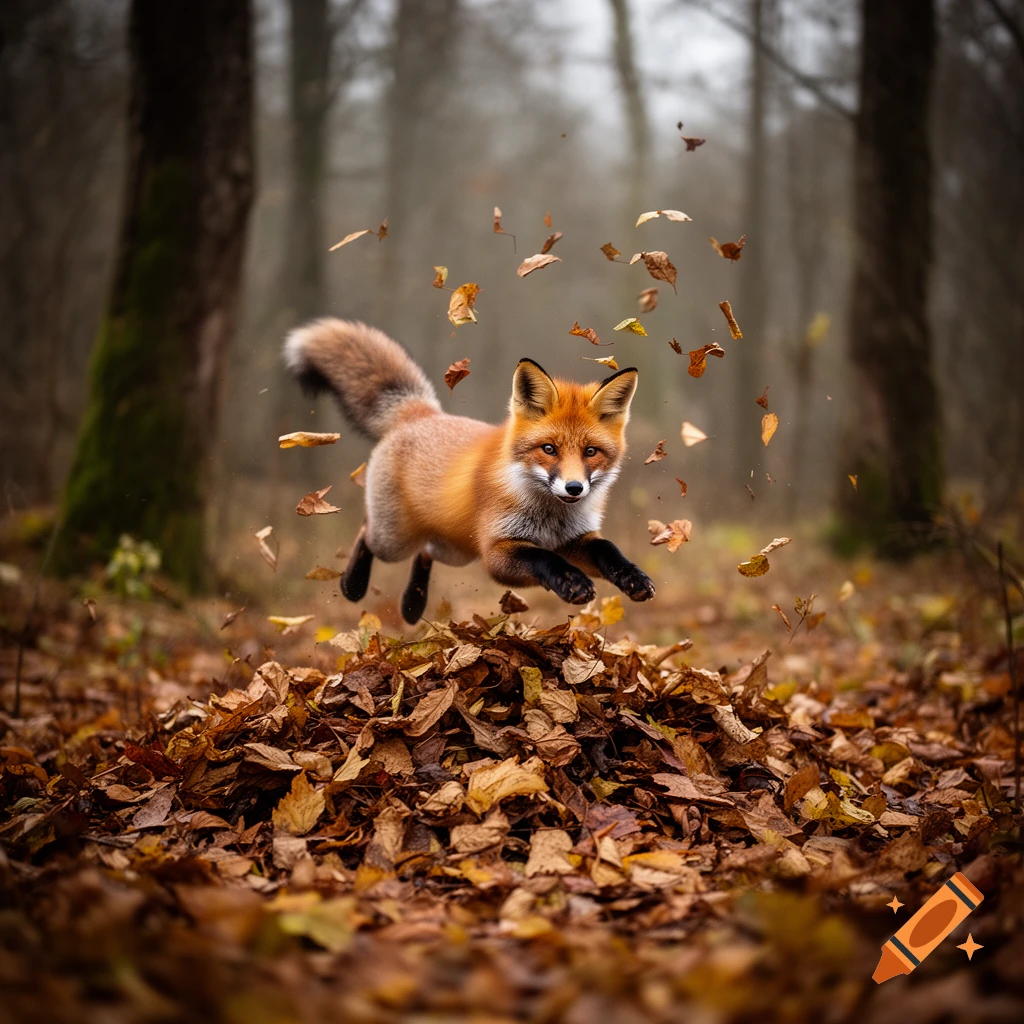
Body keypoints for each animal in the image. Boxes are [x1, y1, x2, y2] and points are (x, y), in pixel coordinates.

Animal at [284, 318, 655, 624]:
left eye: (590, 452)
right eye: (549, 449)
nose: (574, 488)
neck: (551, 517)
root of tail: (422, 413)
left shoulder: (574, 539)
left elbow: (607, 549)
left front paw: (632, 577)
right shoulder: (497, 551)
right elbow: (543, 559)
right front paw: (572, 582)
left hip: (456, 550)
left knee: (426, 551)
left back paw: (412, 606)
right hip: (395, 540)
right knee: (367, 532)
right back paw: (353, 585)